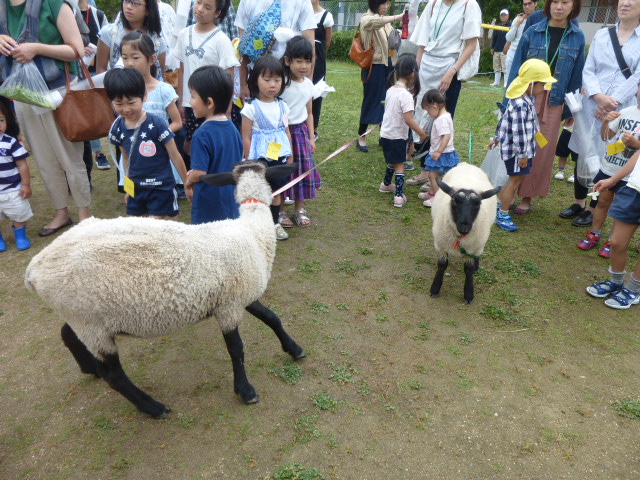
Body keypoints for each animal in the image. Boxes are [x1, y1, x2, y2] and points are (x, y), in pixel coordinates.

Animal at [25, 161, 304, 416]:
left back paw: (89, 368)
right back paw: (152, 407)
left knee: (67, 333)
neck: (252, 233)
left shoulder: (240, 296)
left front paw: (294, 349)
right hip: (91, 323)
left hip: (83, 318)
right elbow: (237, 350)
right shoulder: (229, 307)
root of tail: (34, 269)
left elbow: (272, 318)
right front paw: (245, 390)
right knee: (114, 375)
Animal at [428, 162, 502, 304]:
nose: (465, 225)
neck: (459, 237)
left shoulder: (472, 248)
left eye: (478, 203)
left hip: (479, 242)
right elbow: (442, 265)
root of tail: (467, 164)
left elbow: (468, 269)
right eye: (454, 201)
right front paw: (435, 288)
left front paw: (468, 294)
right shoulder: (441, 245)